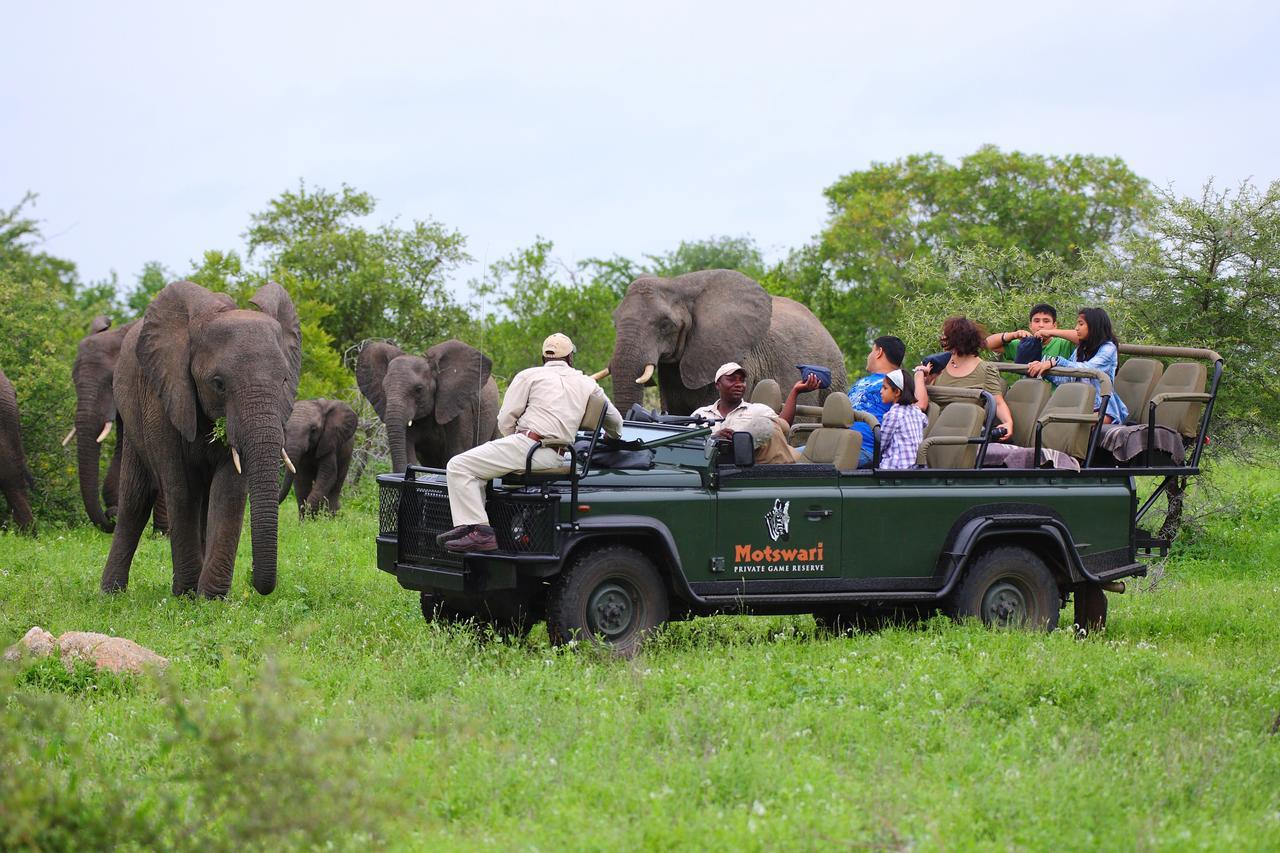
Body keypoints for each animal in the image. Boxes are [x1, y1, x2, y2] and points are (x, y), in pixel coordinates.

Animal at [99, 279, 299, 596]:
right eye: (218, 384)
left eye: (283, 381)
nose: (255, 580)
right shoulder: (164, 396)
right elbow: (180, 488)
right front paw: (187, 593)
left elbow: (229, 491)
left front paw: (211, 597)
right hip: (132, 419)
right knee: (135, 500)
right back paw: (111, 593)